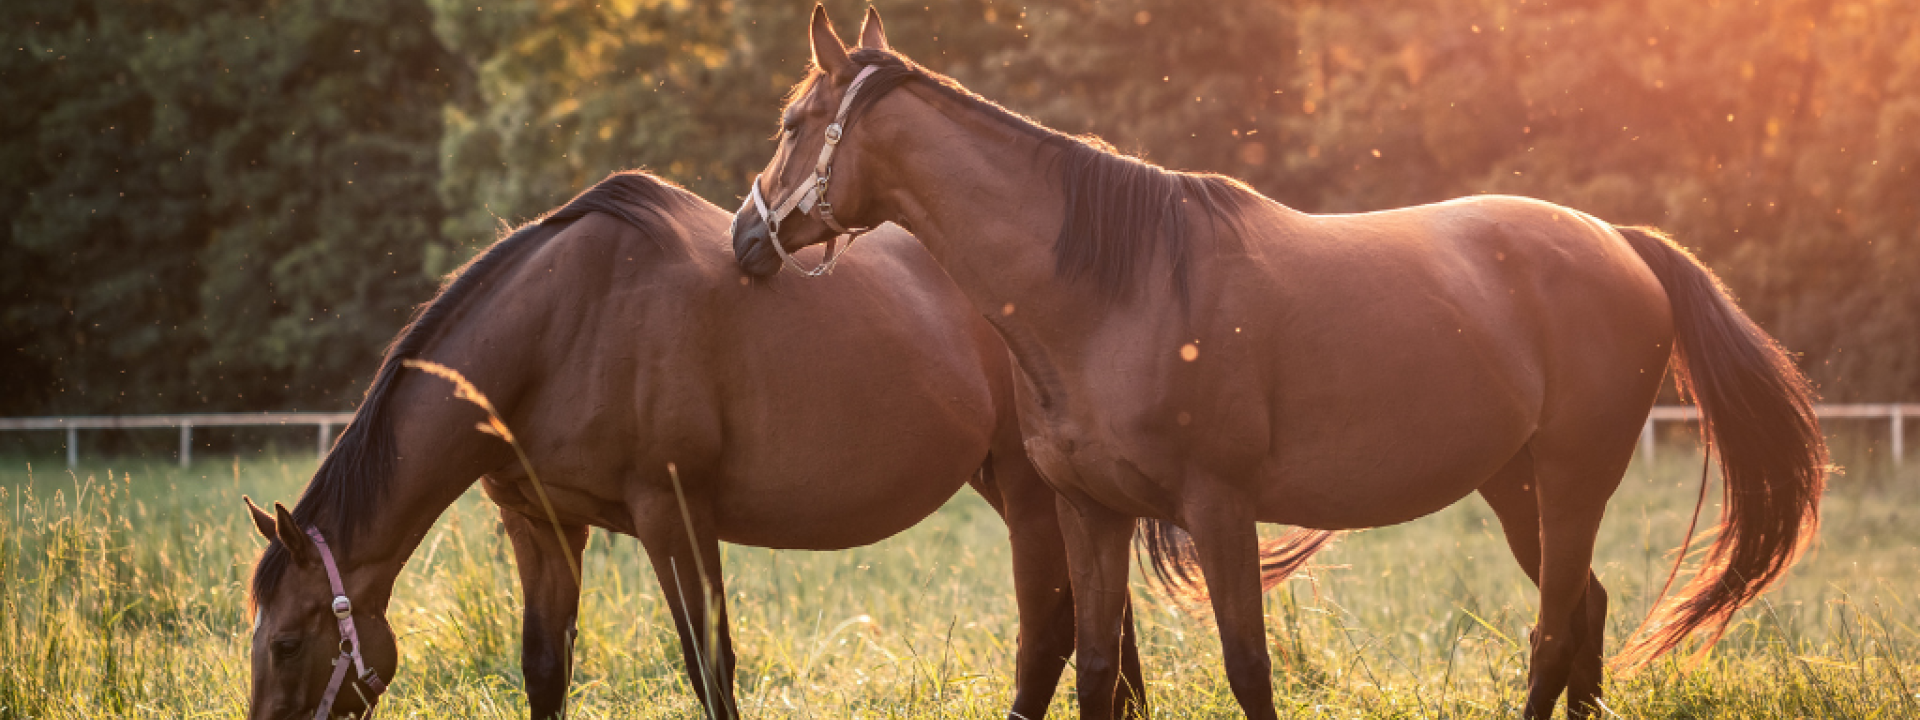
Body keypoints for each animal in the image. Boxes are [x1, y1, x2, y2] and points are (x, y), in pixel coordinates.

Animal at [240, 171, 1136, 720]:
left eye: (286, 643)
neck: (560, 329)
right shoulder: (543, 527)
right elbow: (545, 668)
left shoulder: (673, 516)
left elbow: (710, 665)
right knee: (1108, 629)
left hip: (1029, 491)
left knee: (1052, 634)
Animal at [725, 7, 1820, 720]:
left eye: (791, 125)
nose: (745, 238)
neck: (1113, 290)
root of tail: (1620, 243)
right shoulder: (1090, 512)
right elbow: (1096, 668)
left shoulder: (1219, 508)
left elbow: (1247, 667)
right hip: (1518, 488)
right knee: (1581, 614)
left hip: (1571, 478)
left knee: (1554, 634)